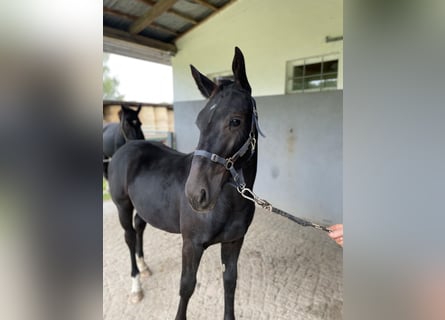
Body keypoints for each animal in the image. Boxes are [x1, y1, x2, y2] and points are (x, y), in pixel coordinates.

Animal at [108, 47, 260, 320]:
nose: (196, 195)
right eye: (199, 122)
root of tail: (127, 147)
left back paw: (144, 267)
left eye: (235, 121)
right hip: (122, 206)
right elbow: (187, 286)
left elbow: (230, 283)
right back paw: (136, 286)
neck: (229, 202)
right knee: (129, 236)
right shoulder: (191, 245)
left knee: (138, 228)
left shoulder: (234, 242)